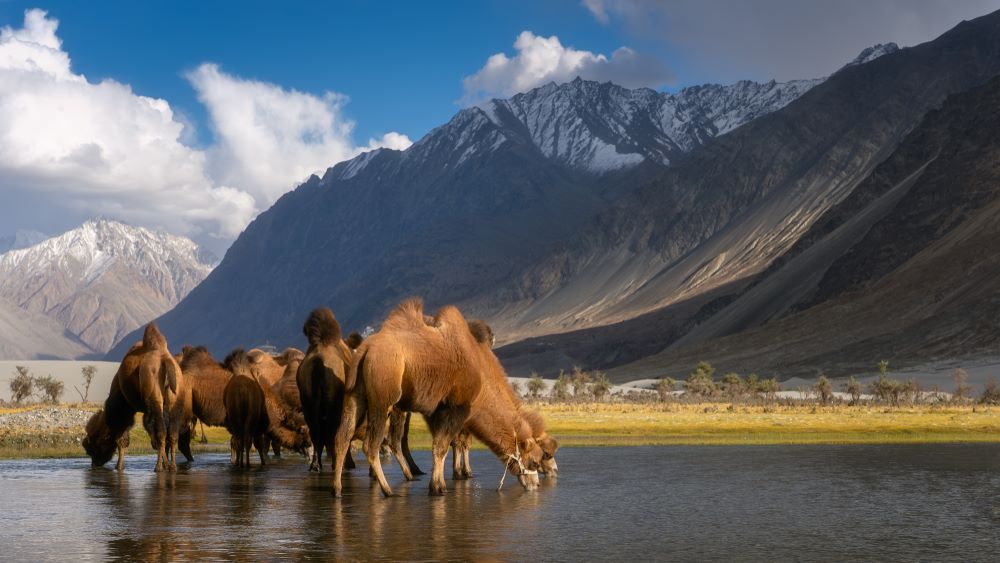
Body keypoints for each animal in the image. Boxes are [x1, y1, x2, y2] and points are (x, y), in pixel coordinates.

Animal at [332, 300, 544, 498]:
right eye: (535, 461)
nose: (536, 484)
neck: (482, 382)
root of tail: (365, 349)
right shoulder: (456, 407)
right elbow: (441, 447)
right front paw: (438, 488)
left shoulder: (436, 411)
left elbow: (440, 446)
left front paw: (439, 483)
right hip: (383, 397)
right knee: (371, 445)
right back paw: (388, 490)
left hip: (355, 394)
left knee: (343, 436)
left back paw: (337, 489)